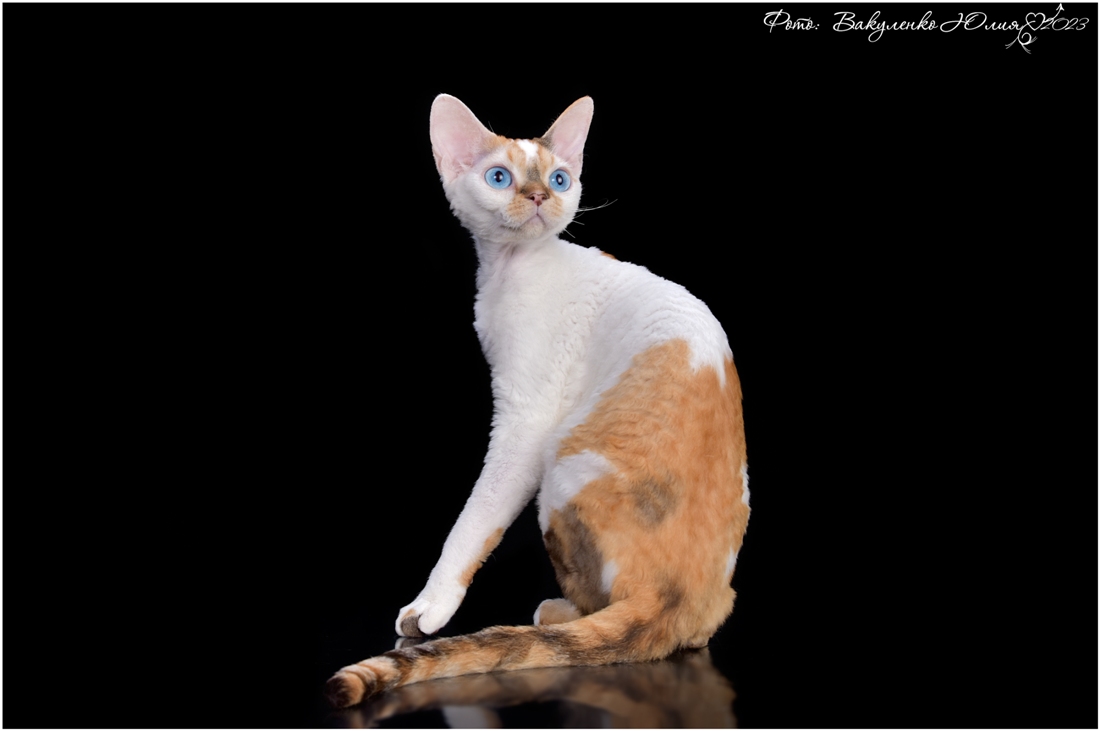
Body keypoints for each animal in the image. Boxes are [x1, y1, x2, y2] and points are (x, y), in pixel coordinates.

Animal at [326, 94, 749, 708]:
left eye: (559, 178)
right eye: (499, 177)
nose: (539, 196)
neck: (510, 270)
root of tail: (684, 600)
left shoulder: (525, 416)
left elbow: (477, 518)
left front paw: (429, 608)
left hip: (562, 466)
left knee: (604, 608)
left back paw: (558, 613)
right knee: (692, 634)